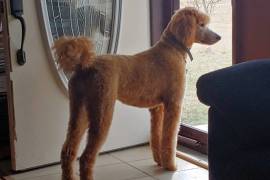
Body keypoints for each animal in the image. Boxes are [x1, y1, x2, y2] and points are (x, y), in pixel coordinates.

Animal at [53, 7, 221, 180]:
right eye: (201, 24)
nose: (218, 37)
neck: (172, 48)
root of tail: (85, 64)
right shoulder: (173, 105)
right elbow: (169, 138)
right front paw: (170, 166)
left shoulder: (158, 108)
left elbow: (156, 136)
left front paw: (159, 161)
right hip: (102, 110)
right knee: (86, 157)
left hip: (79, 109)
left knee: (67, 151)